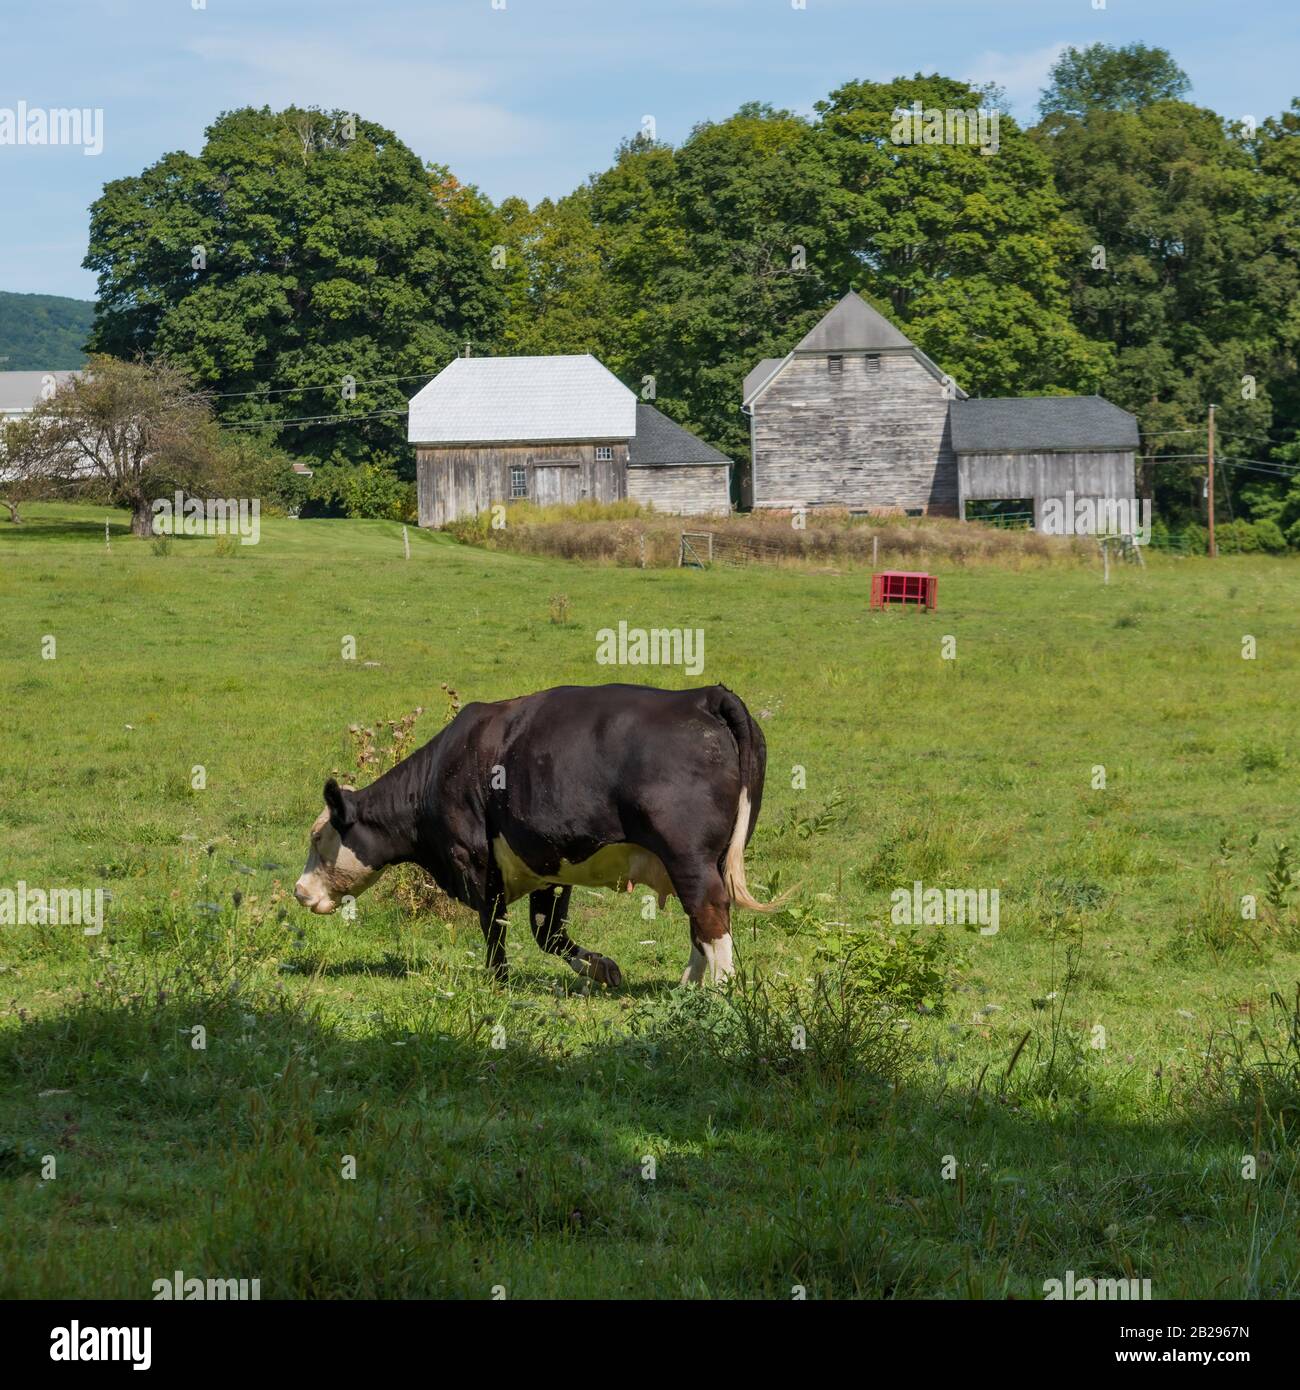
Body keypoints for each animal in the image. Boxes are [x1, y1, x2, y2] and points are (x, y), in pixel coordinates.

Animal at [294, 683, 773, 989]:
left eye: (318, 838)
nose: (299, 891)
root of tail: (703, 695)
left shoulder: (475, 861)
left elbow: (494, 925)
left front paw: (498, 982)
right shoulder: (547, 862)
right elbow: (549, 934)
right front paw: (601, 968)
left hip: (687, 857)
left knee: (709, 913)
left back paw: (717, 992)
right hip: (708, 858)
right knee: (701, 923)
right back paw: (688, 985)